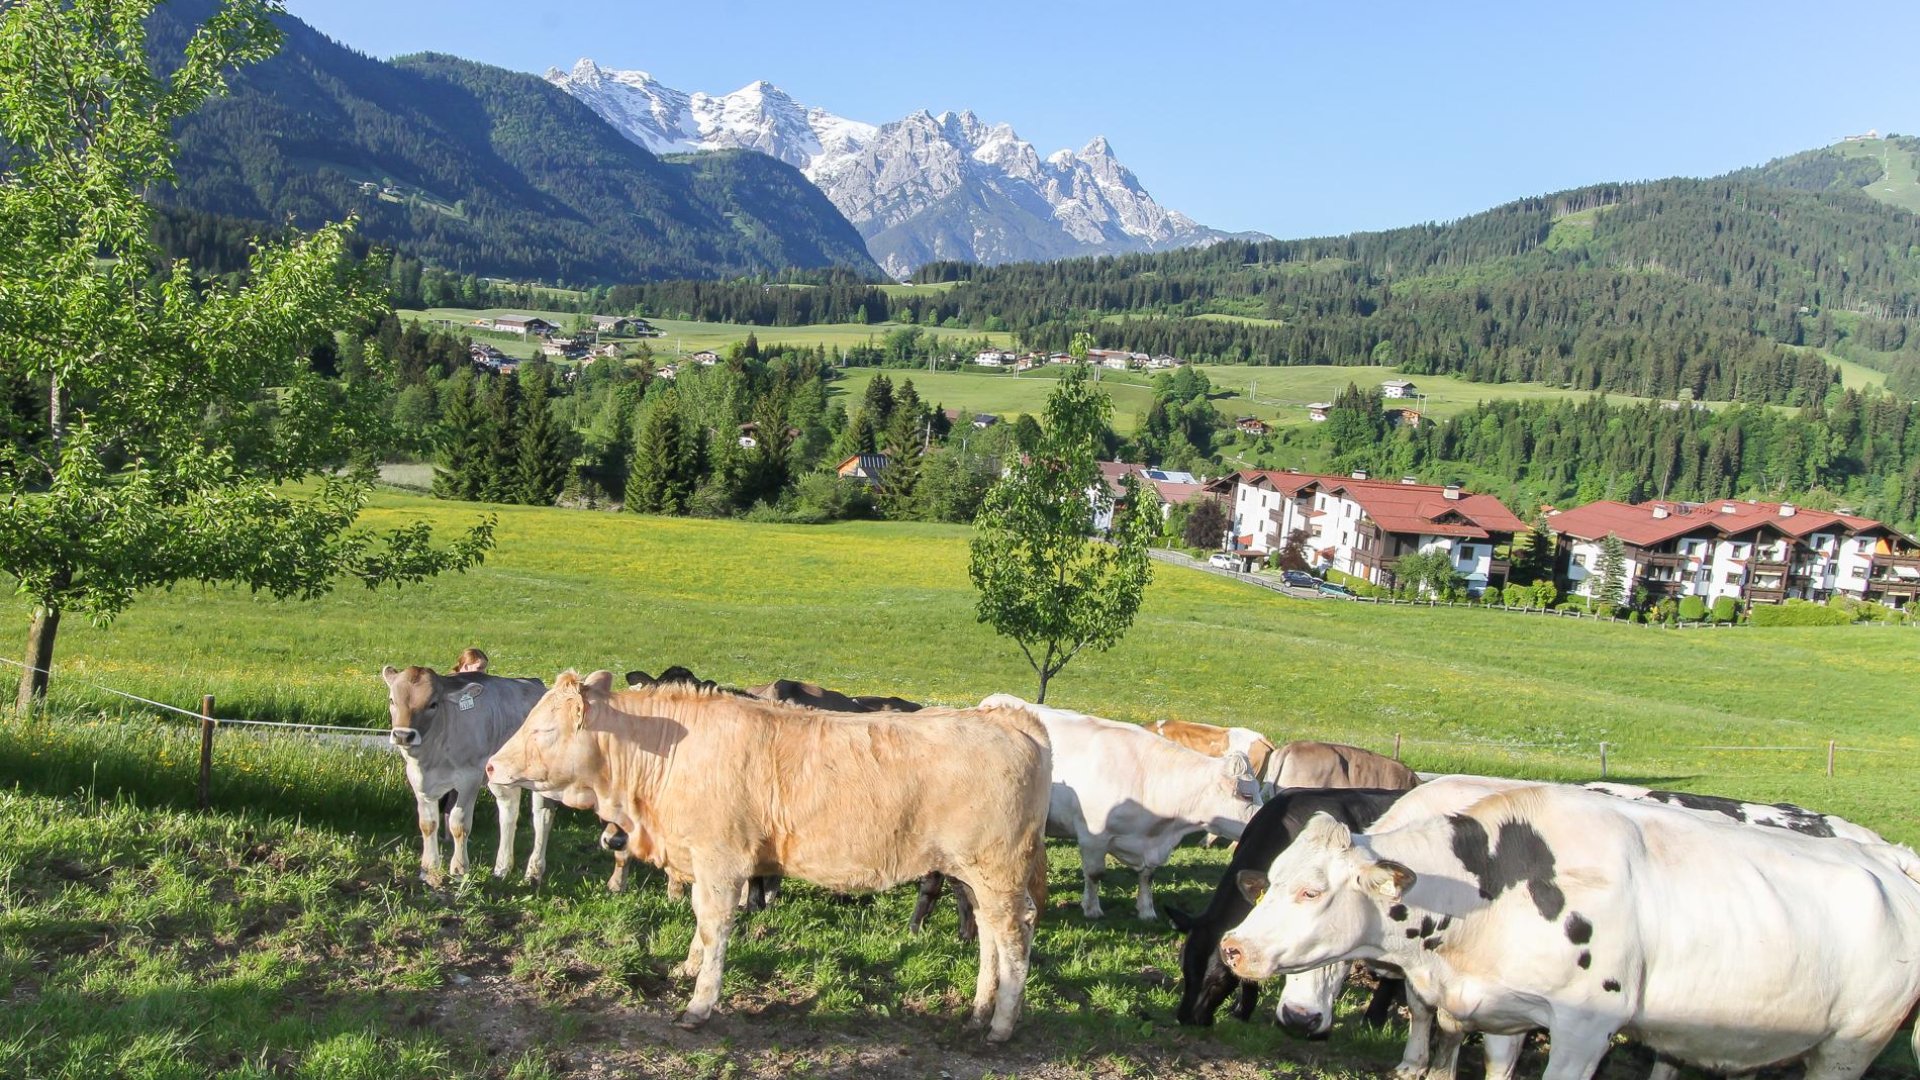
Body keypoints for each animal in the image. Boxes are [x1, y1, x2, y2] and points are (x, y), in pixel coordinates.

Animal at [380, 664, 557, 884]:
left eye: (433, 704)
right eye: (392, 700)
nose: (403, 735)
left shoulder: (469, 778)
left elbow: (459, 823)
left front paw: (459, 869)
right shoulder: (418, 780)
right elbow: (427, 824)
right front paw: (428, 869)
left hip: (542, 778)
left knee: (543, 816)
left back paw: (533, 872)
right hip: (500, 777)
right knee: (508, 810)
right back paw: (502, 868)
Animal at [485, 671, 1052, 1041]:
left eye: (543, 729)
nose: (491, 765)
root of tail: (1008, 718)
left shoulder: (721, 860)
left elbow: (715, 925)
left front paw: (700, 1003)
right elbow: (700, 922)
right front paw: (688, 968)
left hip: (998, 871)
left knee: (1013, 934)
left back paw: (1001, 1025)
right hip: (972, 875)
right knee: (989, 935)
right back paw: (978, 1011)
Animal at [980, 694, 1264, 921]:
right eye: (1247, 795)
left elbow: (1148, 876)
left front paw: (1146, 910)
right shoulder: (1093, 836)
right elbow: (1095, 874)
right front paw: (1092, 909)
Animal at [1219, 783, 1920, 1080]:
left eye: (1312, 891)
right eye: (1272, 881)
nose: (1234, 947)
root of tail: (1893, 859)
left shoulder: (1586, 1028)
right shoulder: (1504, 1009)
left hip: (1850, 1046)